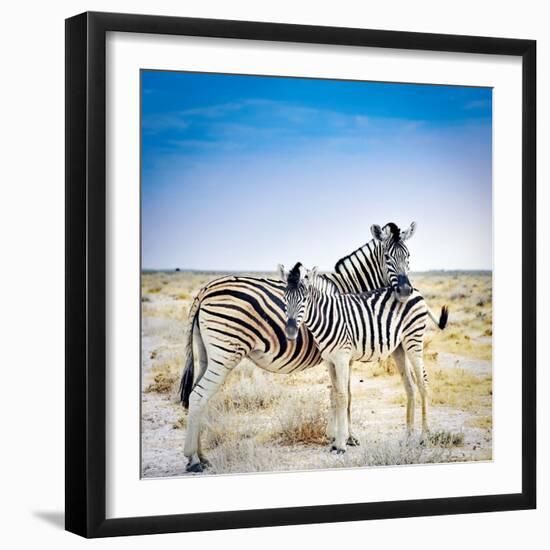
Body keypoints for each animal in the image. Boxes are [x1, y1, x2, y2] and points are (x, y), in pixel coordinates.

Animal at [181, 222, 418, 472]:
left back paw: (201, 456)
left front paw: (335, 437)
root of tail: (206, 288)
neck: (350, 291)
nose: (405, 291)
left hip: (207, 354)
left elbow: (336, 393)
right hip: (225, 353)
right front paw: (347, 438)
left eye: (408, 256)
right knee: (198, 396)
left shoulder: (337, 354)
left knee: (198, 397)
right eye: (387, 257)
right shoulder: (345, 354)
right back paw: (193, 459)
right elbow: (346, 395)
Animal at [284, 266, 448, 454]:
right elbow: (335, 393)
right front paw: (336, 440)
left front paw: (341, 444)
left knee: (423, 384)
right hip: (399, 347)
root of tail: (416, 291)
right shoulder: (329, 361)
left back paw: (424, 437)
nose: (290, 331)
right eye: (284, 299)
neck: (327, 317)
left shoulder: (342, 358)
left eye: (304, 300)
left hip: (414, 340)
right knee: (410, 386)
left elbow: (342, 396)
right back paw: (408, 437)